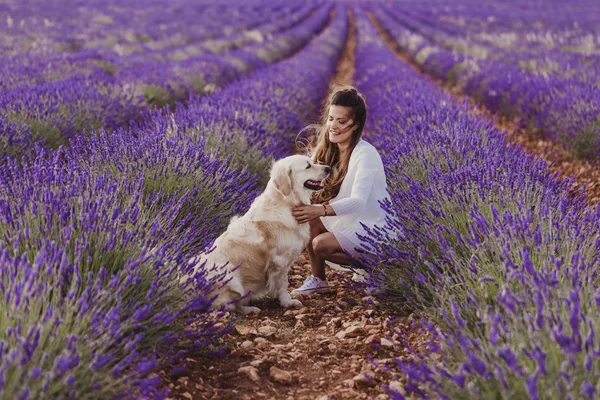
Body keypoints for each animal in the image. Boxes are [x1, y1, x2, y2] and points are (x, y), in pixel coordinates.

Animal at [192, 155, 330, 314]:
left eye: (312, 162)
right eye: (308, 166)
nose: (328, 168)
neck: (285, 203)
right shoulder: (279, 260)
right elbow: (283, 283)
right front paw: (287, 302)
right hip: (230, 279)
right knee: (228, 307)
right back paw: (250, 309)